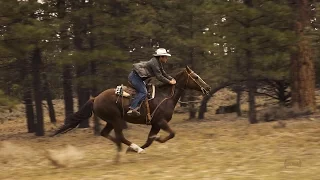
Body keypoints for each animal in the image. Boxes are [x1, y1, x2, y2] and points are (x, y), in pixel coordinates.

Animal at [51, 66, 211, 162]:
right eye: (196, 77)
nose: (208, 88)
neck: (166, 96)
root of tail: (95, 98)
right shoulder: (160, 122)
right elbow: (171, 134)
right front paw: (151, 142)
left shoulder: (154, 124)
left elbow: (149, 140)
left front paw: (136, 148)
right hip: (115, 119)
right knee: (120, 136)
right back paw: (133, 148)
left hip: (111, 121)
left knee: (107, 134)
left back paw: (125, 149)